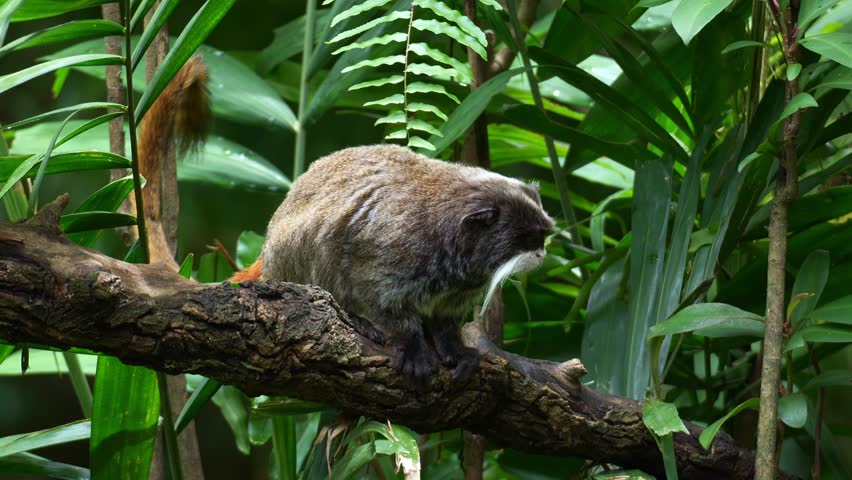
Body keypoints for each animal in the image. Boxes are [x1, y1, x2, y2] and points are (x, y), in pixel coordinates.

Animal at [233, 145, 554, 386]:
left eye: (543, 236)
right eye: (528, 239)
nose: (541, 253)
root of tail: (268, 255)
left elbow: (446, 318)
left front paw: (454, 349)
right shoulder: (398, 246)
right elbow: (379, 294)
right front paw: (412, 345)